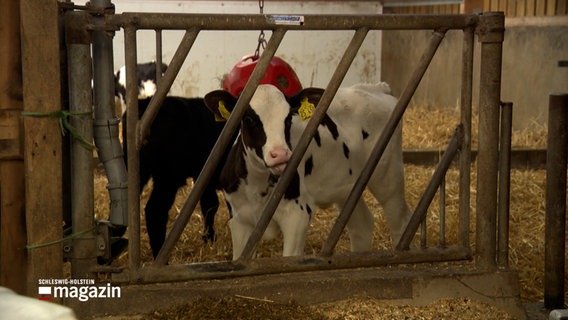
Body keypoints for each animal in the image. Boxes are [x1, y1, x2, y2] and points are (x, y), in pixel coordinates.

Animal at [204, 83, 412, 260]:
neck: (258, 185)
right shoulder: (239, 219)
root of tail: (376, 88)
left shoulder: (297, 214)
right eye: (248, 119)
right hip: (347, 188)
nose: (280, 154)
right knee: (362, 226)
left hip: (388, 177)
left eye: (288, 118)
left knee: (400, 221)